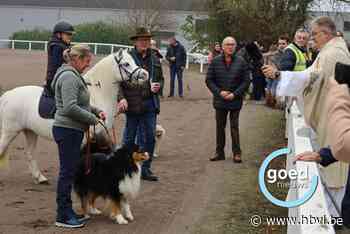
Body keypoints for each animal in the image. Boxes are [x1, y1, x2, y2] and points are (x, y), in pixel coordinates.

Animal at [0, 49, 148, 185]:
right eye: (126, 64)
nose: (145, 74)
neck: (97, 93)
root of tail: (8, 95)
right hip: (10, 132)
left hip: (30, 132)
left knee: (30, 154)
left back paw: (40, 178)